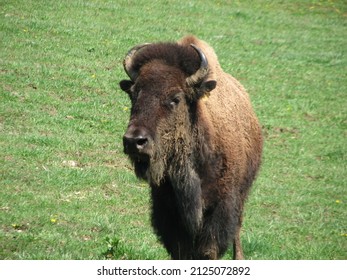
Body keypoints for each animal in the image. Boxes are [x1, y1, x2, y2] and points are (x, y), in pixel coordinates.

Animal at [120, 35, 264, 260]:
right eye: (133, 94)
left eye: (176, 98)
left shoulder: (220, 207)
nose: (134, 141)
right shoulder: (168, 211)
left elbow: (209, 249)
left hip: (242, 192)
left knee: (238, 227)